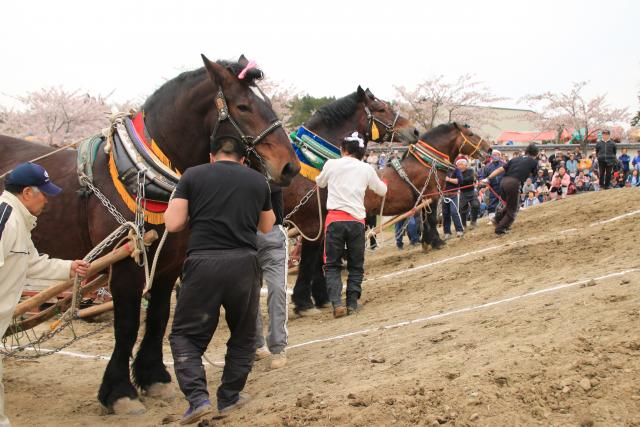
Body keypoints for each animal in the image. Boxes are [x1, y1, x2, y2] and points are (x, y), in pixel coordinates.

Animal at [282, 88, 418, 310]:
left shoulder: (323, 221)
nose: (414, 131)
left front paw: (321, 296)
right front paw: (303, 300)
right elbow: (310, 260)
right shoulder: (311, 223)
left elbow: (319, 259)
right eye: (381, 109)